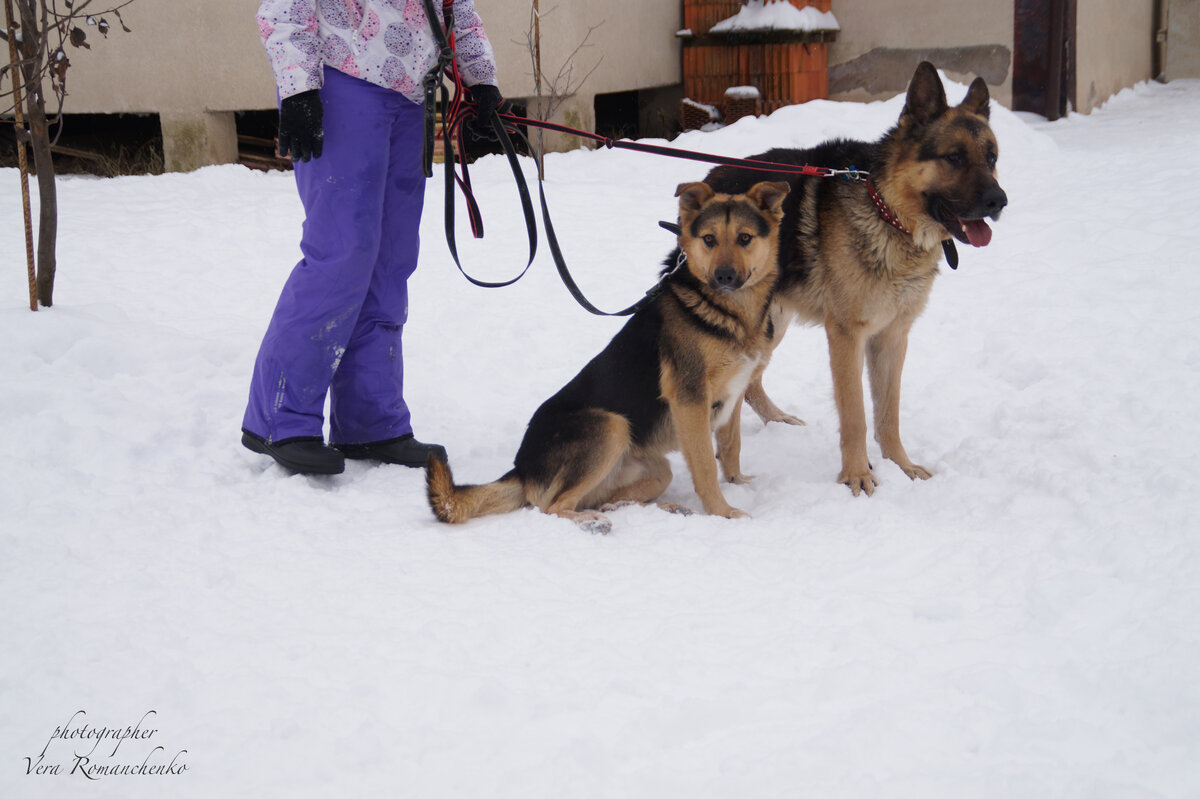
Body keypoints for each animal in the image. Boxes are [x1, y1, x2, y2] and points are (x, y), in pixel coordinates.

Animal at [427, 178, 792, 527]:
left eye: (744, 238)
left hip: (655, 470)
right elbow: (704, 466)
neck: (725, 311)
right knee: (553, 507)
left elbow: (731, 446)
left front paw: (738, 484)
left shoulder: (734, 393)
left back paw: (666, 509)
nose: (724, 276)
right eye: (709, 239)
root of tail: (522, 469)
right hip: (610, 425)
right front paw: (723, 512)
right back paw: (590, 523)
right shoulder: (690, 399)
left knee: (605, 500)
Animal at [700, 62, 1003, 494]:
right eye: (955, 157)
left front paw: (900, 466)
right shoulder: (846, 335)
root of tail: (715, 173)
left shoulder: (892, 337)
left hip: (773, 325)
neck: (889, 214)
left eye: (991, 157)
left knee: (751, 383)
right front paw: (857, 475)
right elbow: (856, 414)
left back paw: (777, 422)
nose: (999, 201)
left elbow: (888, 413)